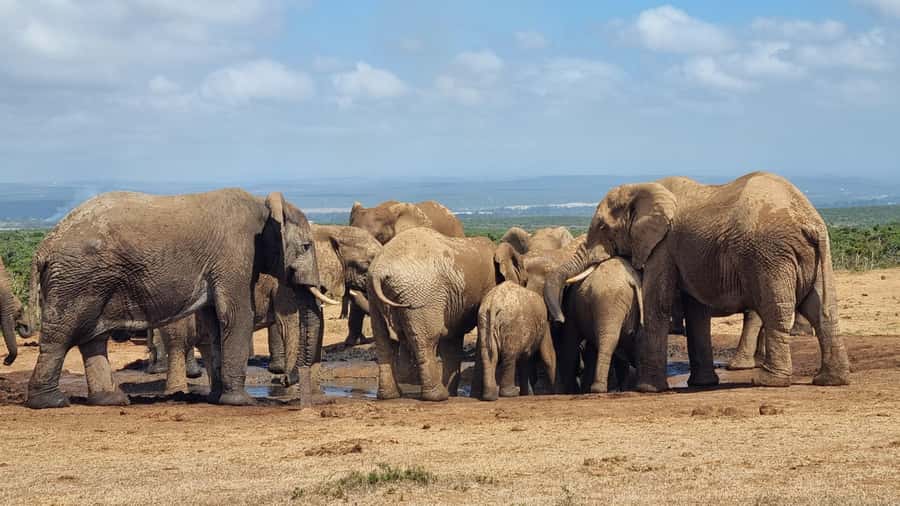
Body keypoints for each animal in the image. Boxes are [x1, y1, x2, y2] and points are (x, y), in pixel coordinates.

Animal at [25, 189, 330, 409]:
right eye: (306, 246)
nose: (289, 383)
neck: (263, 206)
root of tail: (44, 247)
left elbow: (214, 321)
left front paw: (216, 399)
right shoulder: (235, 254)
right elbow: (236, 315)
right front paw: (241, 402)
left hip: (92, 281)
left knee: (93, 338)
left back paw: (110, 400)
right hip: (77, 279)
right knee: (62, 335)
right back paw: (50, 402)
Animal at [367, 227, 496, 401]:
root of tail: (379, 271)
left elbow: (452, 340)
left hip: (374, 297)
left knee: (383, 340)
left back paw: (389, 396)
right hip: (422, 295)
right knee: (427, 340)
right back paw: (438, 396)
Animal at [544, 171, 851, 392]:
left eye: (602, 227)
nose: (559, 318)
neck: (643, 188)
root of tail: (810, 219)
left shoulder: (663, 246)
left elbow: (658, 303)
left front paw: (647, 389)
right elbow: (696, 311)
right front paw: (702, 384)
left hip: (769, 255)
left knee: (775, 308)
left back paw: (769, 382)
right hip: (811, 256)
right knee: (822, 310)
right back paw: (831, 380)